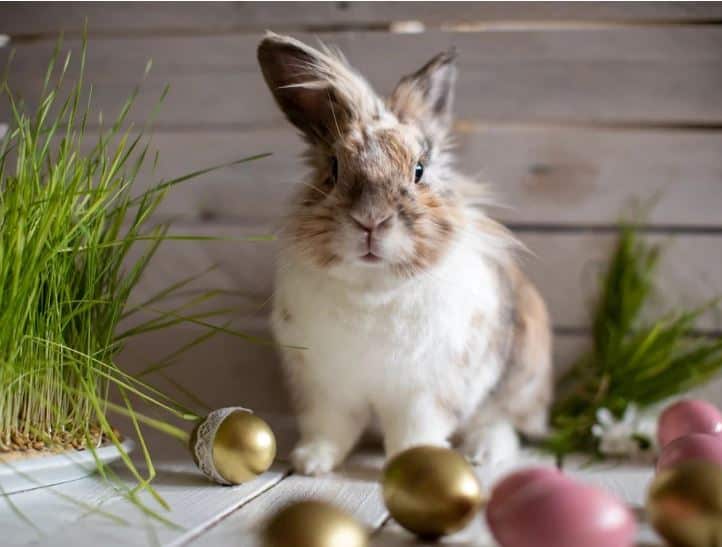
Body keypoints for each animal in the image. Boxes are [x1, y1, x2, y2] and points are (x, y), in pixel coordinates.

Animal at [257, 32, 553, 475]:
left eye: (419, 170)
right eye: (334, 169)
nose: (371, 220)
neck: (372, 289)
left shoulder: (427, 393)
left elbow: (416, 431)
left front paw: (417, 464)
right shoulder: (324, 388)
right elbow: (329, 427)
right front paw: (311, 462)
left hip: (521, 376)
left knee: (502, 421)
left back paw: (484, 452)